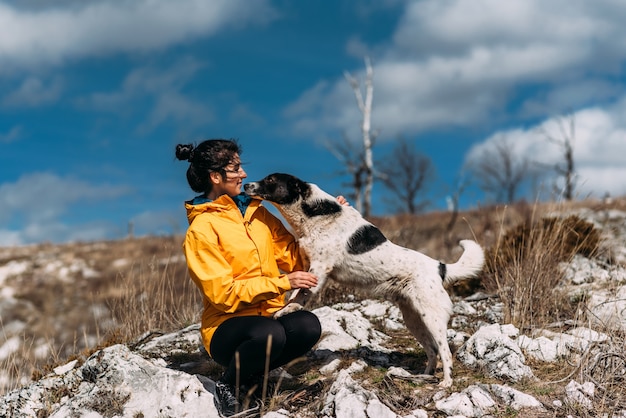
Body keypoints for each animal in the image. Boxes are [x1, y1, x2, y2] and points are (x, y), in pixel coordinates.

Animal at [244, 171, 482, 386]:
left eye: (271, 179)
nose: (246, 185)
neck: (313, 213)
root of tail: (439, 267)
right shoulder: (306, 267)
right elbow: (295, 292)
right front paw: (284, 308)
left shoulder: (319, 268)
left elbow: (301, 295)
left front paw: (288, 310)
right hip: (414, 319)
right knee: (432, 351)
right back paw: (423, 376)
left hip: (432, 319)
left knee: (445, 351)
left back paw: (446, 383)